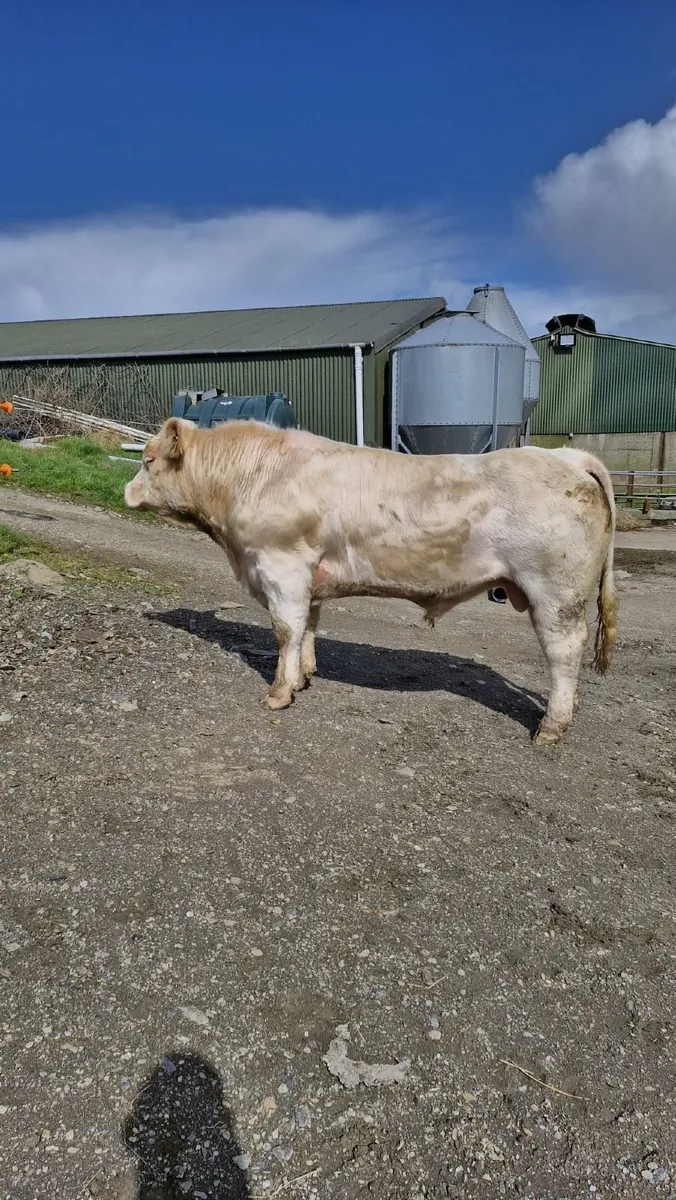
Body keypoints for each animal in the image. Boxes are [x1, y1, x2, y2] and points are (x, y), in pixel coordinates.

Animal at [125, 418, 617, 745]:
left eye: (147, 460)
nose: (125, 491)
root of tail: (565, 456)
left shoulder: (281, 565)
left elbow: (285, 630)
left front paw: (279, 694)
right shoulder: (309, 575)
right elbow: (308, 626)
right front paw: (303, 678)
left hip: (555, 589)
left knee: (563, 650)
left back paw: (551, 726)